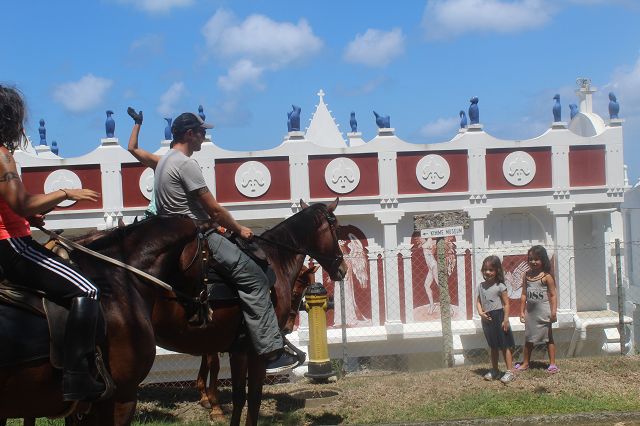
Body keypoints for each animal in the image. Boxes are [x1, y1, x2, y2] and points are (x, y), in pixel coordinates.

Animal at [0, 201, 344, 426]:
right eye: (336, 227)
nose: (340, 268)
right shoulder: (253, 351)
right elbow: (252, 397)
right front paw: (212, 404)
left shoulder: (237, 347)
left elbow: (239, 395)